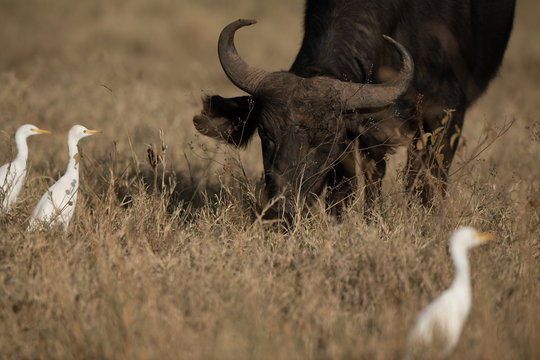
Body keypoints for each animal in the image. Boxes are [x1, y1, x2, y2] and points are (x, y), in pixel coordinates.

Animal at [193, 0, 516, 221]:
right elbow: (344, 189)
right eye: (265, 132)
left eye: (326, 141)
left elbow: (428, 180)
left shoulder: (446, 116)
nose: (279, 209)